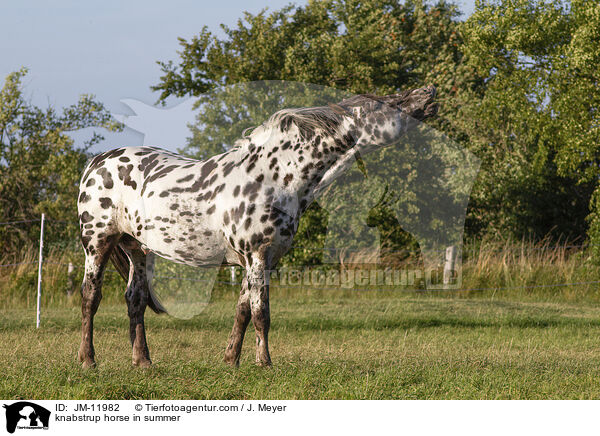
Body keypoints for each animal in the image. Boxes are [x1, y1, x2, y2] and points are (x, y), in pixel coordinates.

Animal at [77, 83, 438, 366]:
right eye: (384, 103)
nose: (429, 92)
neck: (274, 177)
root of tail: (96, 162)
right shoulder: (257, 255)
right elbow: (261, 313)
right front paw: (264, 363)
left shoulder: (262, 259)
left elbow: (243, 311)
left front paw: (231, 361)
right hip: (97, 244)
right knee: (90, 297)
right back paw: (88, 360)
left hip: (137, 249)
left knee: (134, 300)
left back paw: (143, 362)